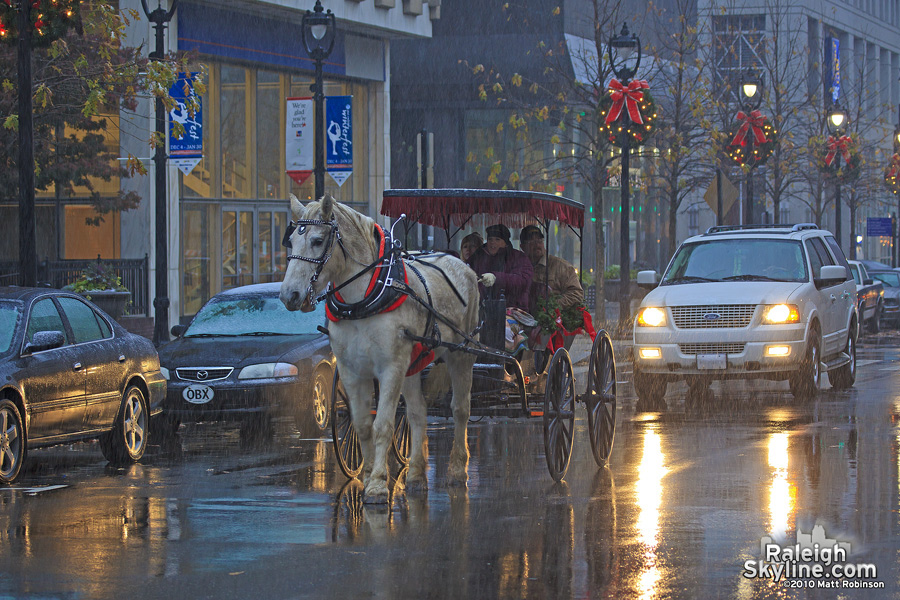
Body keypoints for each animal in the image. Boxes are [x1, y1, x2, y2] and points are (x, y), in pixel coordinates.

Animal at [282, 195, 482, 504]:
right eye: (290, 241)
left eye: (317, 240)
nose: (289, 295)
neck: (363, 299)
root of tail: (461, 263)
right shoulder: (351, 370)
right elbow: (363, 425)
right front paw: (366, 476)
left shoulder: (390, 367)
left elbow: (383, 424)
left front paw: (377, 483)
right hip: (413, 363)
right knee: (417, 413)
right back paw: (416, 475)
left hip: (461, 353)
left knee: (460, 409)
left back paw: (458, 470)